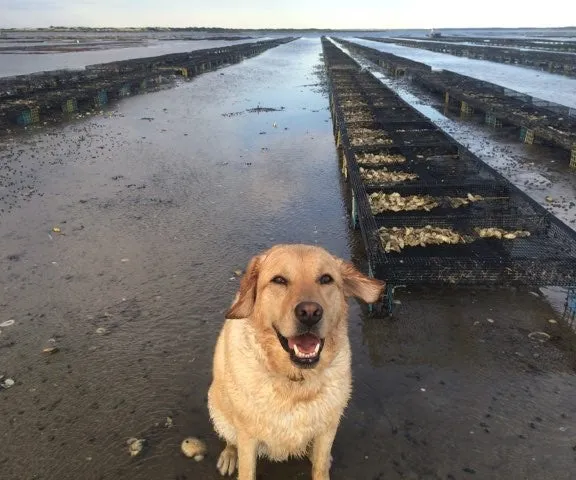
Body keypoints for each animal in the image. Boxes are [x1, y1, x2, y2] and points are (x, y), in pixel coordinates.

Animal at [207, 246, 382, 478]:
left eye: (326, 279)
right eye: (279, 280)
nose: (310, 313)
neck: (295, 382)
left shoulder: (327, 429)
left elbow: (320, 468)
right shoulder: (247, 436)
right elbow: (246, 470)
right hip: (219, 410)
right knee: (230, 439)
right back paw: (229, 454)